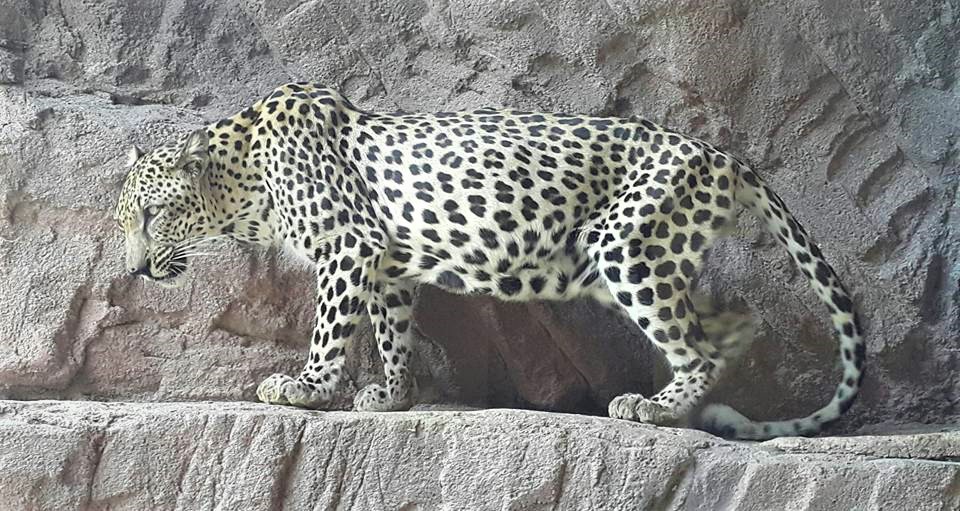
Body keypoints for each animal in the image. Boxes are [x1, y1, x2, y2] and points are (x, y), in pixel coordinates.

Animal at [114, 82, 865, 440]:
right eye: (125, 223)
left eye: (150, 216)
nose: (136, 270)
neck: (242, 185)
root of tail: (720, 153)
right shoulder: (387, 264)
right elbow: (391, 332)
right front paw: (393, 394)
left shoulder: (347, 245)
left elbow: (330, 329)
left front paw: (306, 388)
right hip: (644, 256)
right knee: (728, 323)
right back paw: (700, 404)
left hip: (625, 247)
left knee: (700, 345)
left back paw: (653, 408)